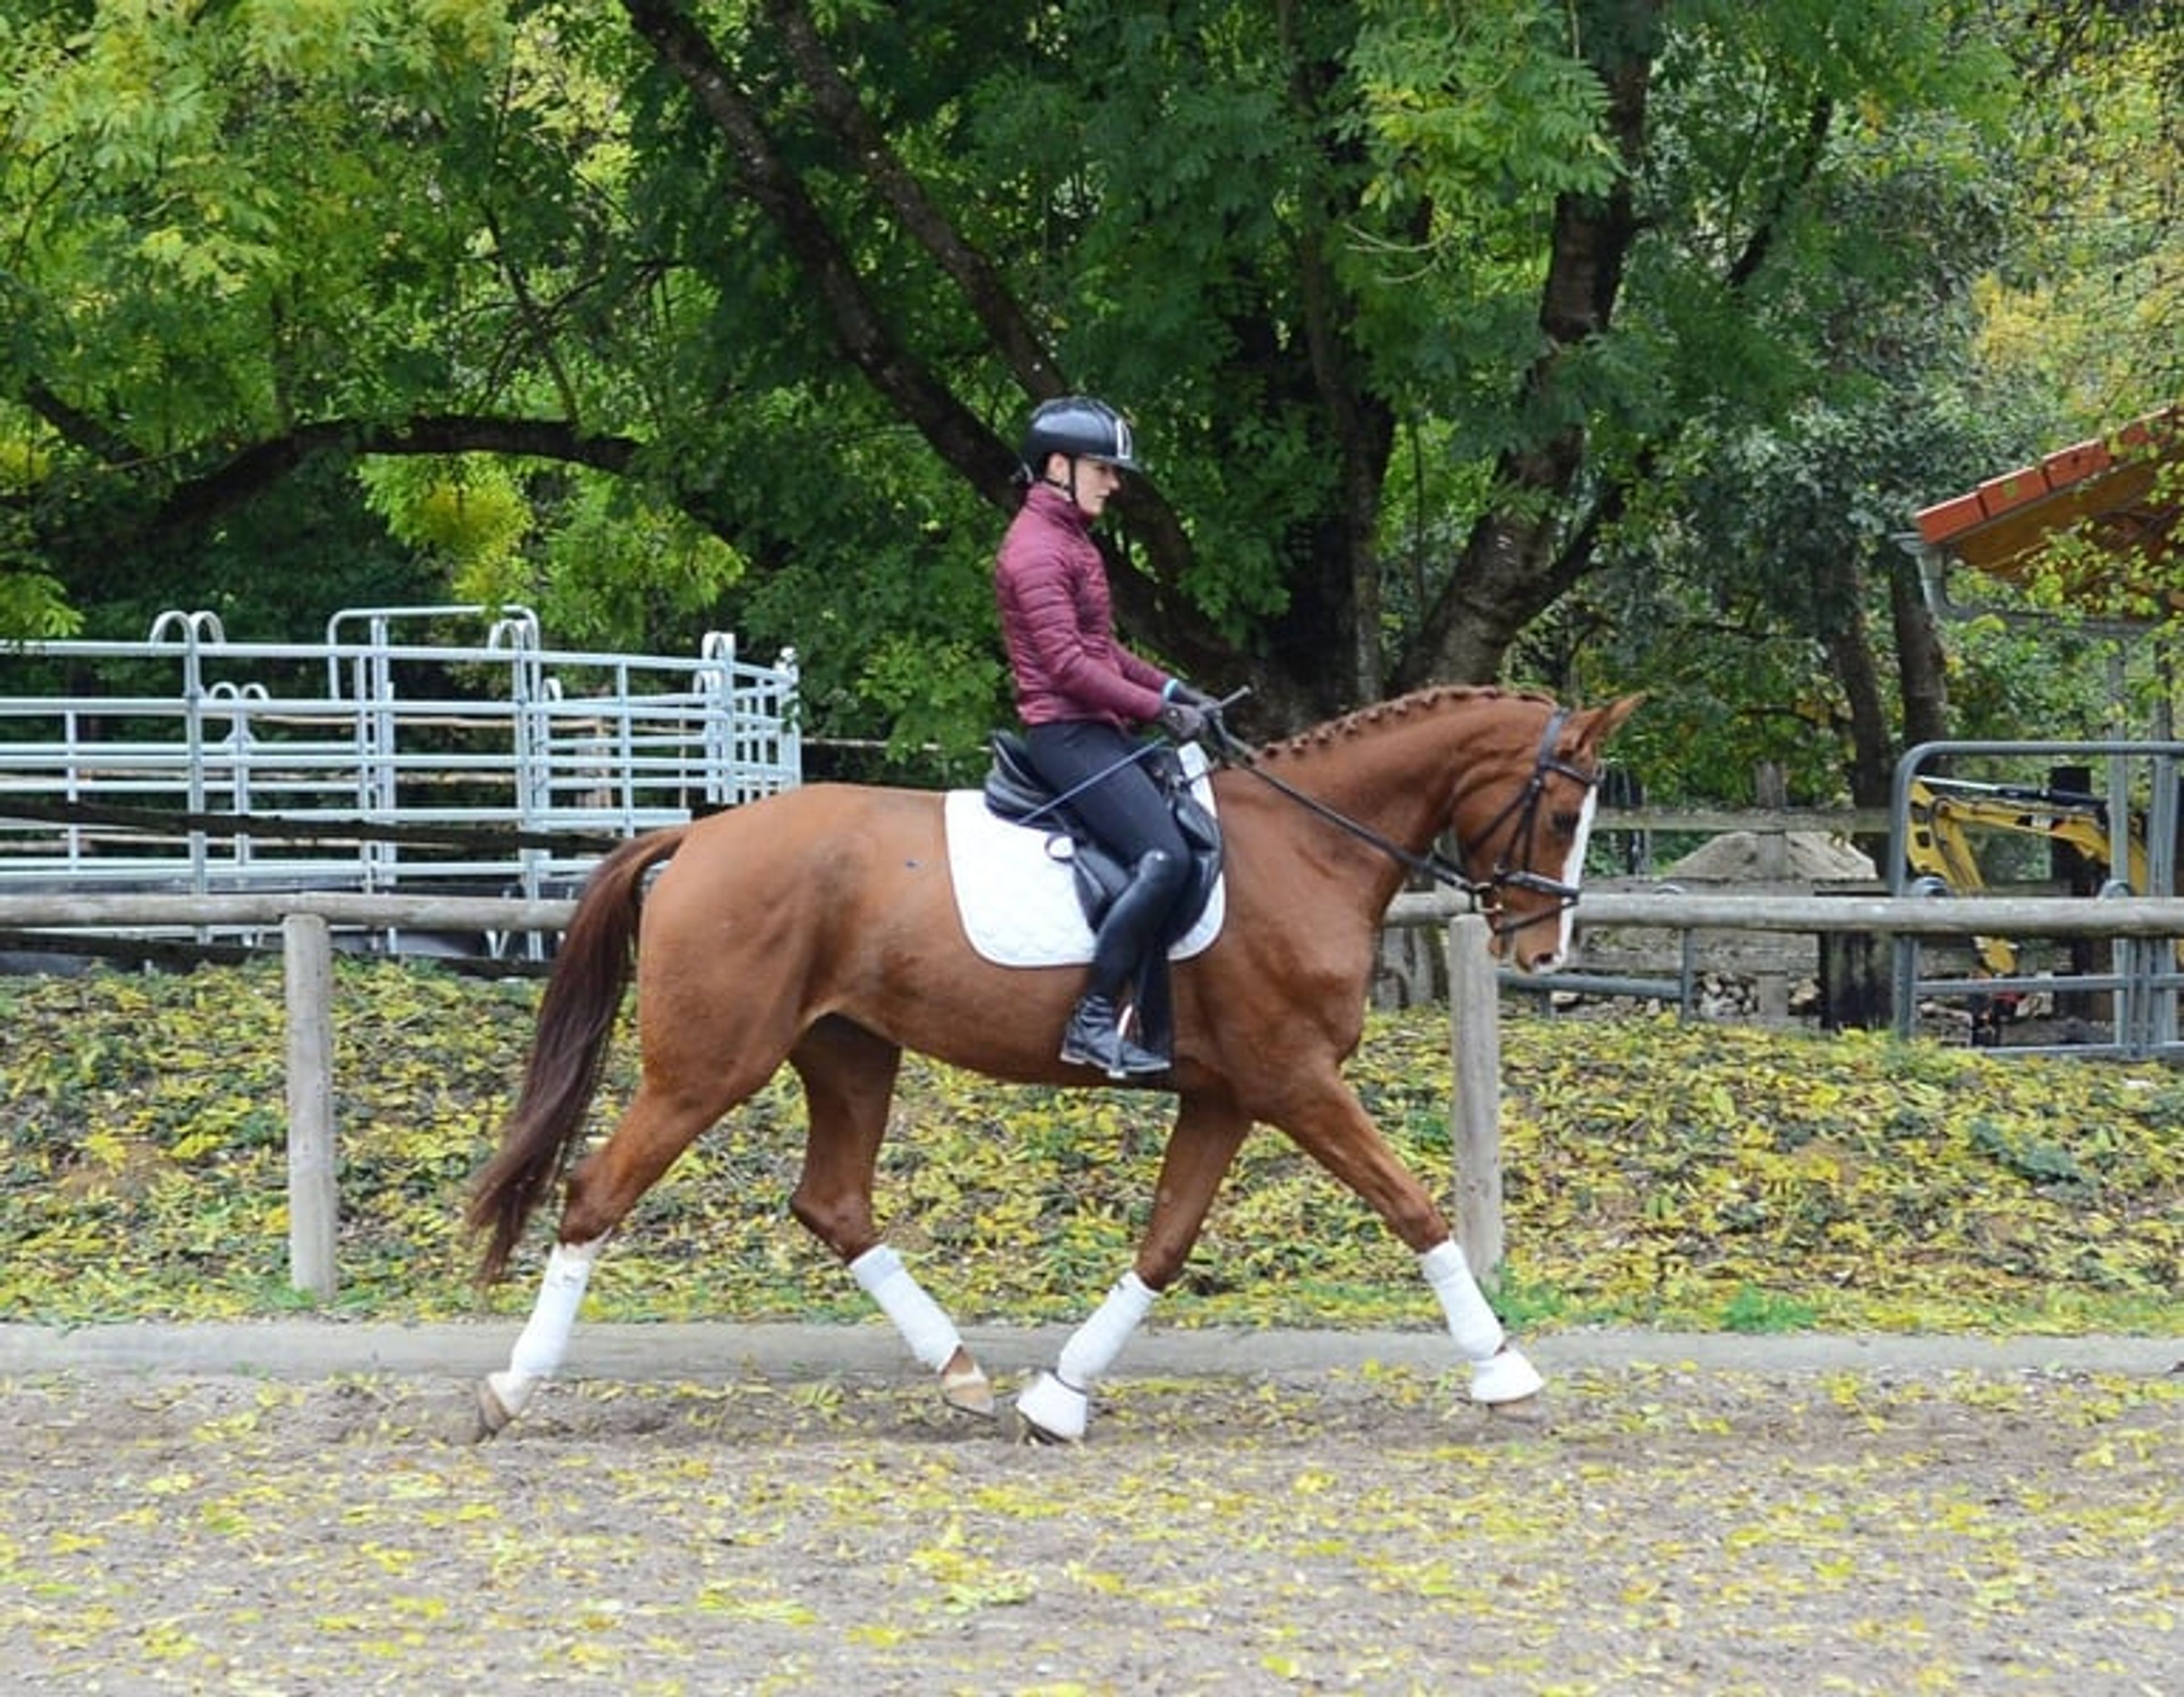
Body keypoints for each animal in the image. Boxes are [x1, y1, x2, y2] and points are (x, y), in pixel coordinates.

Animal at [467, 684, 1641, 1442]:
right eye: (1565, 810)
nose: (1546, 951)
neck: (1307, 847)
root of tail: (699, 838)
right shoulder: (1296, 1080)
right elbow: (1413, 1205)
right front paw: (1506, 1367)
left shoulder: (1229, 1095)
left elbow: (1166, 1242)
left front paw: (1060, 1394)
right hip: (708, 1067)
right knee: (596, 1191)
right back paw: (513, 1386)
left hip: (850, 1052)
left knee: (833, 1201)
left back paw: (960, 1374)